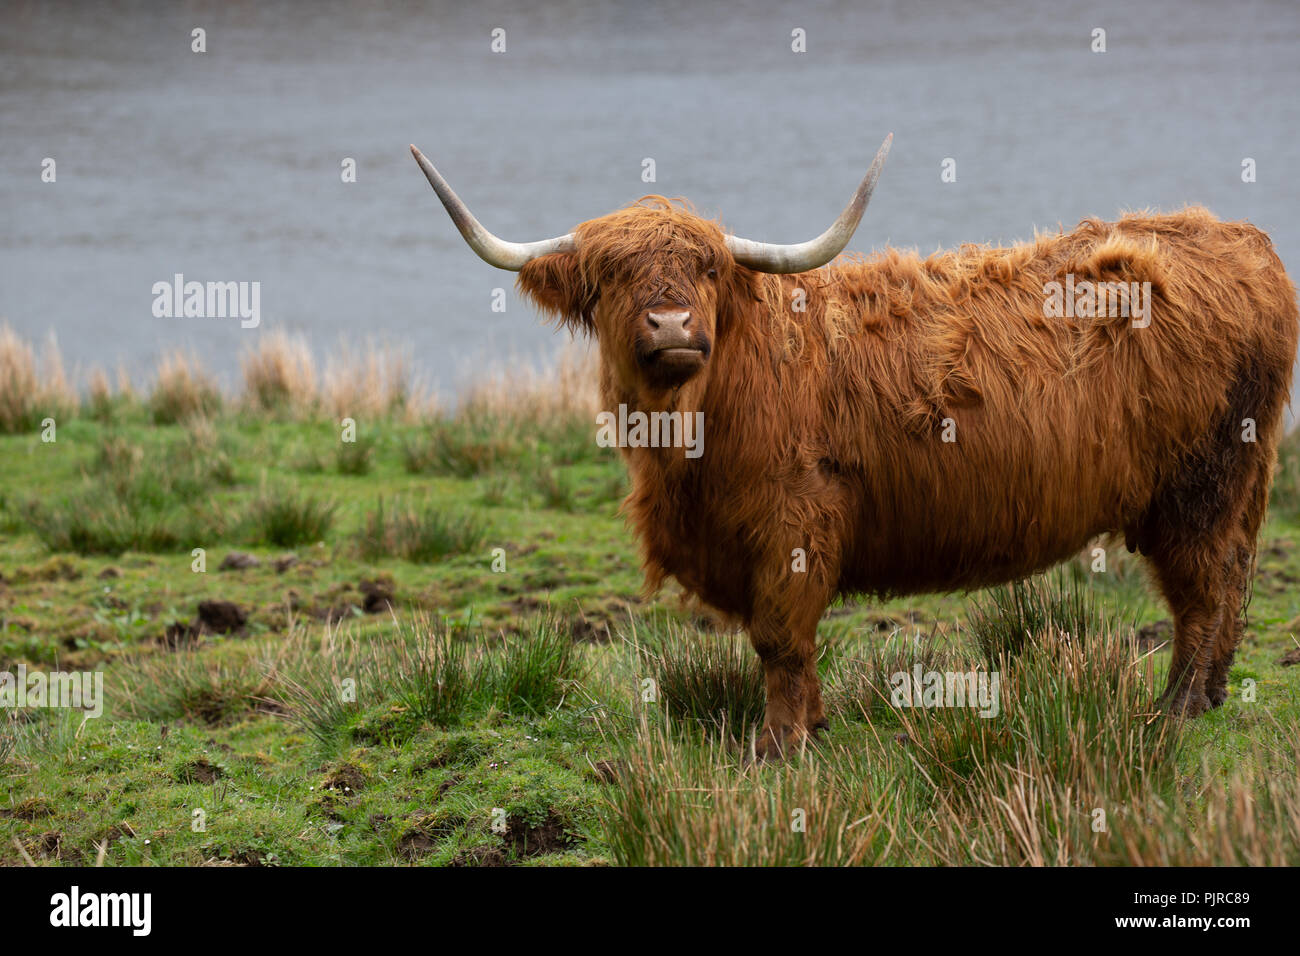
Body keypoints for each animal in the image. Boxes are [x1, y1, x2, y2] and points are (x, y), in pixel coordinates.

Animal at [410, 138, 1294, 759]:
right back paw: (1213, 694)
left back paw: (1175, 708)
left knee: (1204, 590)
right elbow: (788, 645)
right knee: (1236, 578)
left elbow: (779, 637)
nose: (671, 326)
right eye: (612, 274)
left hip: (1200, 485)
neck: (685, 442)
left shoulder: (794, 523)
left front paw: (778, 746)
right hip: (1242, 478)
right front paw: (814, 724)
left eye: (705, 268)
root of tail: (1238, 238)